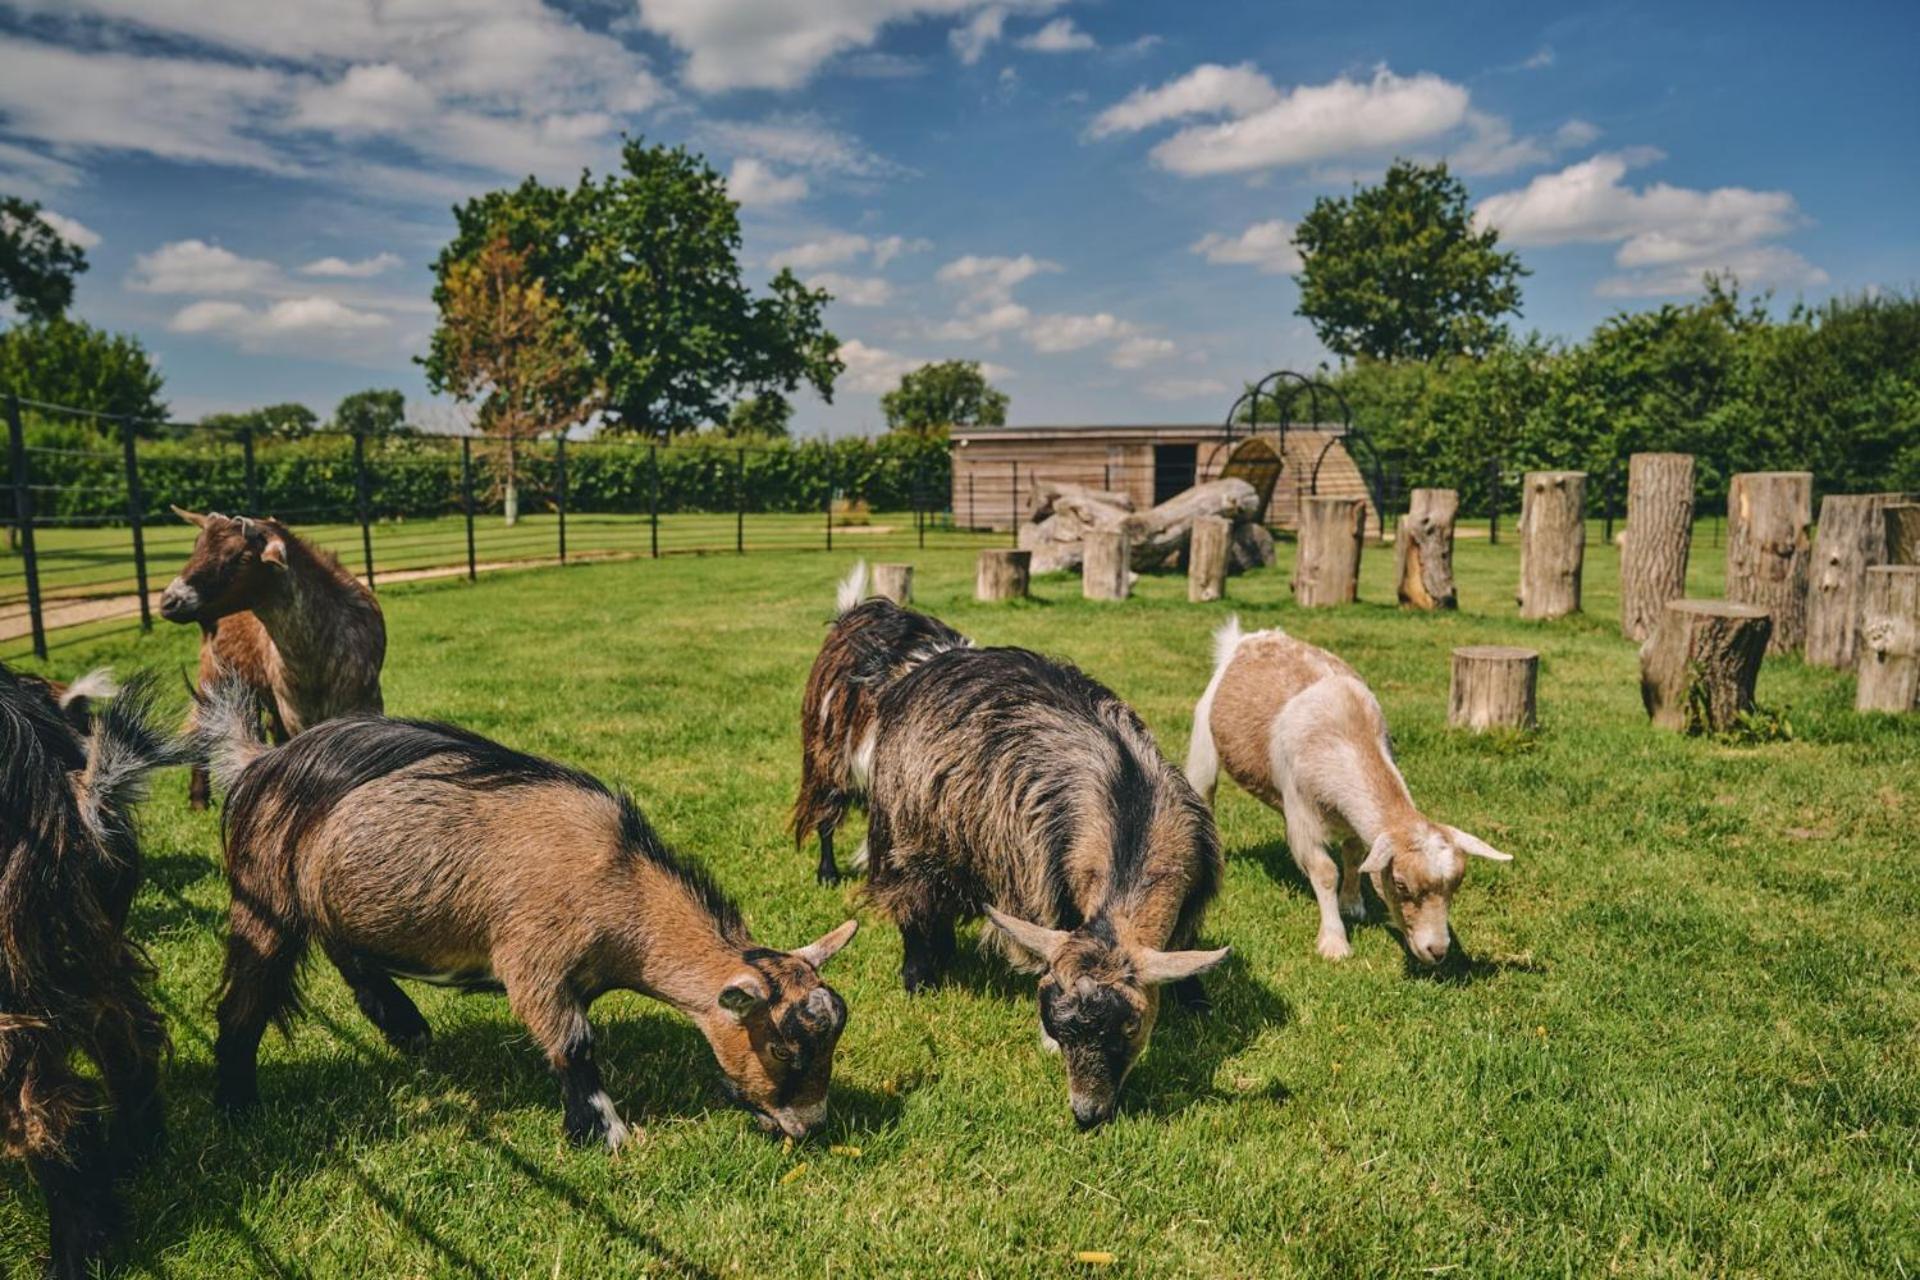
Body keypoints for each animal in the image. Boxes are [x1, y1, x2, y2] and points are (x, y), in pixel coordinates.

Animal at [159, 506, 384, 809]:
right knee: (201, 726)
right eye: (197, 546)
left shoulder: (368, 702)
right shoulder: (293, 714)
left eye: (243, 557)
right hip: (214, 676)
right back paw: (199, 802)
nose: (169, 602)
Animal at [194, 679, 856, 1151]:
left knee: (345, 951)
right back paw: (236, 1104)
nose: (810, 1126)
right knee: (246, 998)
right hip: (264, 896)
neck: (619, 881)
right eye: (784, 1051)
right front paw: (607, 1134)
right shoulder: (534, 963)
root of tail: (259, 763)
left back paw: (404, 1025)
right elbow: (576, 1044)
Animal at [864, 644, 1221, 1128]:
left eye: (1128, 1029)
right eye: (1056, 1027)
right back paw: (920, 977)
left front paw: (1197, 1002)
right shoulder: (1052, 890)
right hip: (907, 832)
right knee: (915, 901)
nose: (1087, 1114)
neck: (1133, 807)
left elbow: (1184, 948)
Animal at [1182, 614, 1512, 967]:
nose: (1436, 951)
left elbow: (1354, 856)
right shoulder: (1302, 820)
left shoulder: (1352, 820)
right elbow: (1326, 872)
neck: (1344, 733)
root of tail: (1248, 639)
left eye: (1456, 886)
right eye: (1400, 884)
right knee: (1205, 792)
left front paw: (1352, 905)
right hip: (1203, 741)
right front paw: (1334, 942)